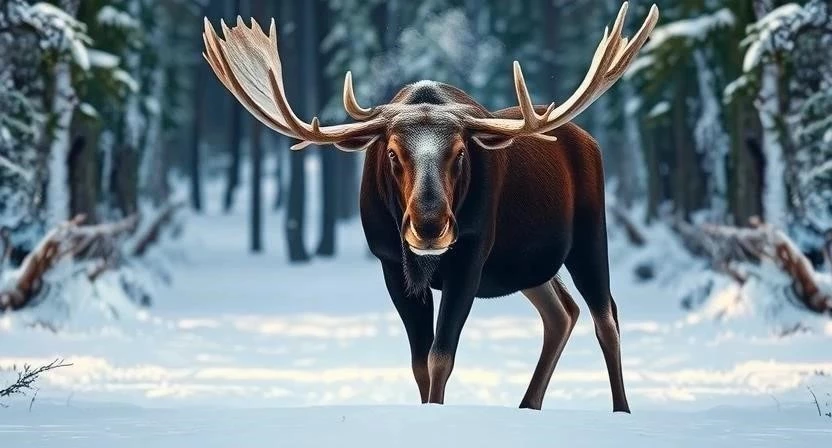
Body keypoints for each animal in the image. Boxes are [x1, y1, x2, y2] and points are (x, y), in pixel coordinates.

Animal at [202, 2, 659, 413]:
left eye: (460, 152)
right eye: (391, 153)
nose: (428, 226)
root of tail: (589, 140)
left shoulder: (471, 254)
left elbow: (442, 356)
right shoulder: (391, 262)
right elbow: (420, 362)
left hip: (589, 234)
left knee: (606, 318)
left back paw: (621, 411)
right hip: (528, 265)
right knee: (562, 312)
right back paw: (528, 404)